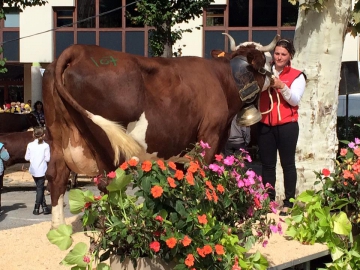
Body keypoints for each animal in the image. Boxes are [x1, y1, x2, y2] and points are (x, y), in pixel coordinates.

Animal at [42, 34, 278, 228]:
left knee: (56, 176)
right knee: (107, 183)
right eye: (270, 61)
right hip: (105, 144)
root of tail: (78, 50)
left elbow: (185, 181)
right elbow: (202, 176)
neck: (223, 80)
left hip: (57, 137)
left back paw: (58, 230)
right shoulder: (211, 135)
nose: (276, 77)